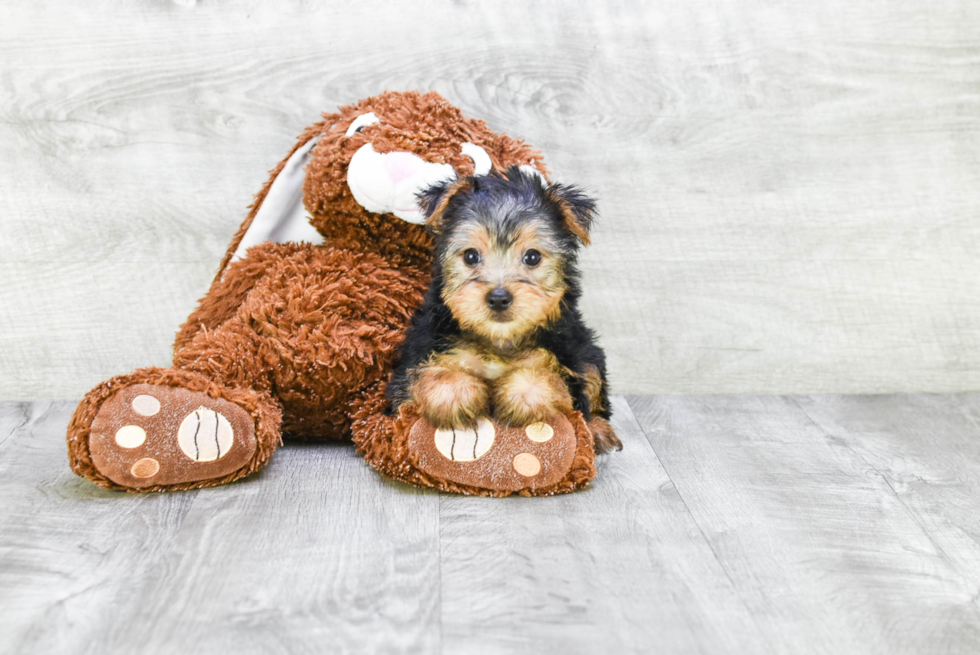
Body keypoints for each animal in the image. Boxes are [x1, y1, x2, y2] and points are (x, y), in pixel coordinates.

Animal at [384, 167, 620, 454]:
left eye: (532, 257)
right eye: (471, 256)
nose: (498, 298)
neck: (498, 341)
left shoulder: (567, 359)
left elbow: (553, 380)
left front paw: (521, 394)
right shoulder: (420, 352)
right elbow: (423, 377)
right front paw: (456, 394)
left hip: (588, 350)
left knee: (594, 384)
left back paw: (599, 431)